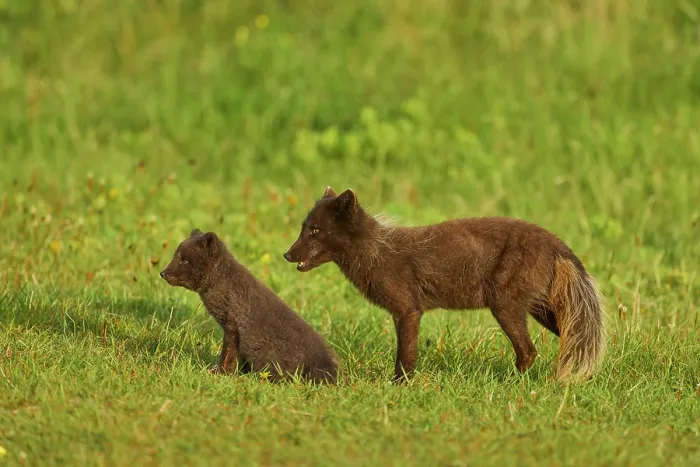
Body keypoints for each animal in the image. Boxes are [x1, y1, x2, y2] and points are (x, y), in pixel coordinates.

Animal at [161, 228, 340, 384]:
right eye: (176, 257)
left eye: (184, 260)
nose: (163, 273)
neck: (223, 283)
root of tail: (323, 362)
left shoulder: (232, 327)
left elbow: (227, 354)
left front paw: (220, 373)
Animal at [283, 186, 606, 383]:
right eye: (303, 228)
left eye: (315, 231)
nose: (286, 254)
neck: (376, 251)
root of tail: (557, 243)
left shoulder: (408, 311)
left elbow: (405, 356)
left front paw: (399, 386)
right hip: (543, 310)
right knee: (579, 338)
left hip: (505, 307)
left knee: (529, 350)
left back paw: (512, 383)